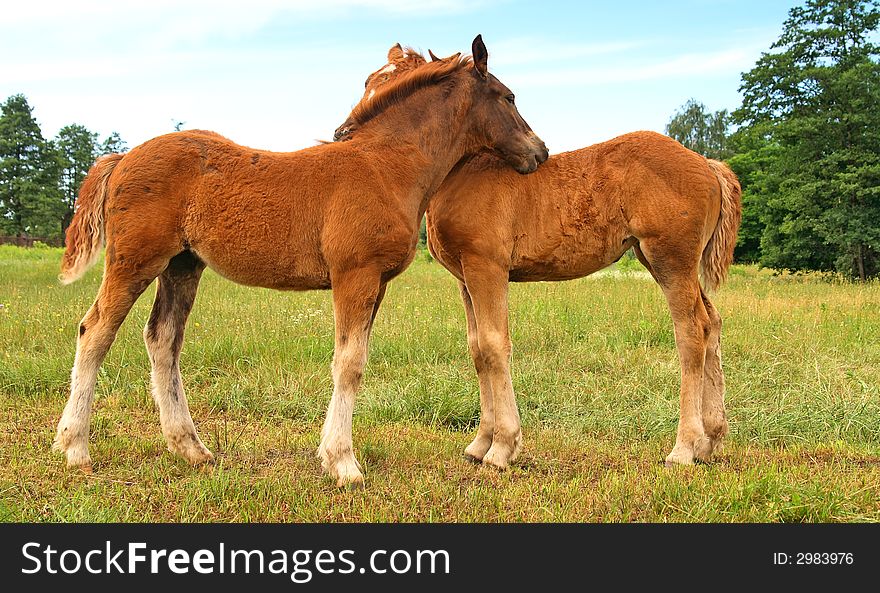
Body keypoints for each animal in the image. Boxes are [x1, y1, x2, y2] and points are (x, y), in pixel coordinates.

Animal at [55, 35, 548, 486]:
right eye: (509, 97)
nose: (539, 151)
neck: (385, 168)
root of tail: (122, 158)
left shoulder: (377, 282)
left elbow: (354, 357)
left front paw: (332, 455)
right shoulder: (355, 275)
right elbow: (349, 363)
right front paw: (344, 464)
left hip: (182, 265)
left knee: (163, 339)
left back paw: (191, 449)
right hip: (134, 260)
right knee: (95, 331)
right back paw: (76, 448)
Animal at [336, 46, 744, 470]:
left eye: (395, 88)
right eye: (369, 81)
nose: (343, 134)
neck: (463, 172)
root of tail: (707, 163)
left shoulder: (487, 268)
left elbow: (495, 345)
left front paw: (502, 448)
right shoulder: (465, 277)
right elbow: (477, 348)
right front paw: (480, 443)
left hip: (670, 261)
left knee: (692, 333)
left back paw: (685, 447)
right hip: (663, 262)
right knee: (712, 323)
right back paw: (713, 439)